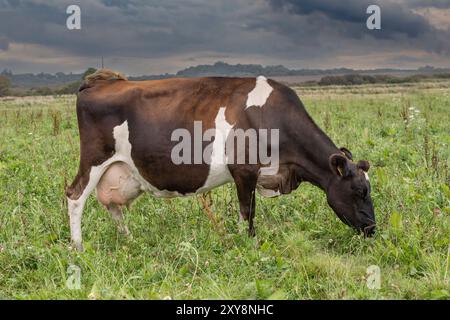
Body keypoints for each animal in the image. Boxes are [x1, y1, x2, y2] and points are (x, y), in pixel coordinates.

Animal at [66, 69, 376, 251]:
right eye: (360, 191)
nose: (373, 229)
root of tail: (99, 81)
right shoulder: (244, 169)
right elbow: (247, 212)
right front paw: (246, 245)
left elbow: (248, 210)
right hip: (94, 160)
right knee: (75, 196)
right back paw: (78, 247)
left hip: (118, 170)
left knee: (112, 206)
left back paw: (129, 241)